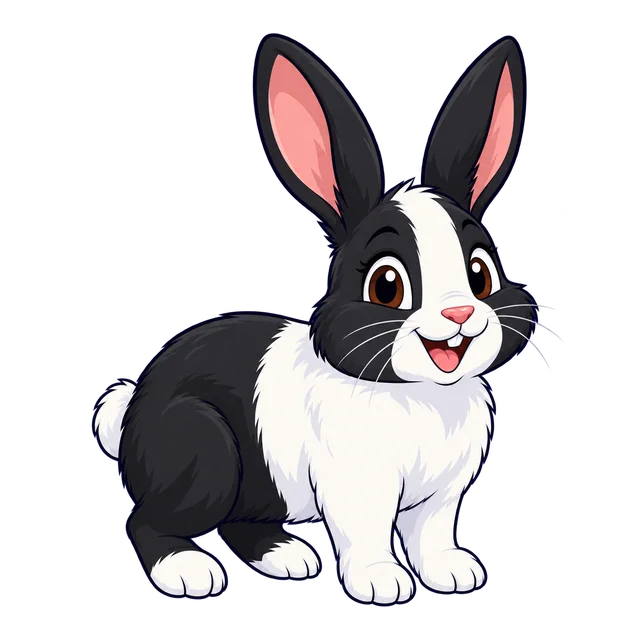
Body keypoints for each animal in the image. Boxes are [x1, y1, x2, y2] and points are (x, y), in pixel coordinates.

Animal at [90, 32, 545, 606]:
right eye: (387, 284)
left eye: (481, 272)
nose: (459, 312)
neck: (418, 393)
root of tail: (131, 413)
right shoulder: (357, 488)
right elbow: (367, 534)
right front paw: (381, 584)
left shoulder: (441, 497)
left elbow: (432, 535)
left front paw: (456, 574)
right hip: (203, 452)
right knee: (148, 522)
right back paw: (191, 572)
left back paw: (288, 557)